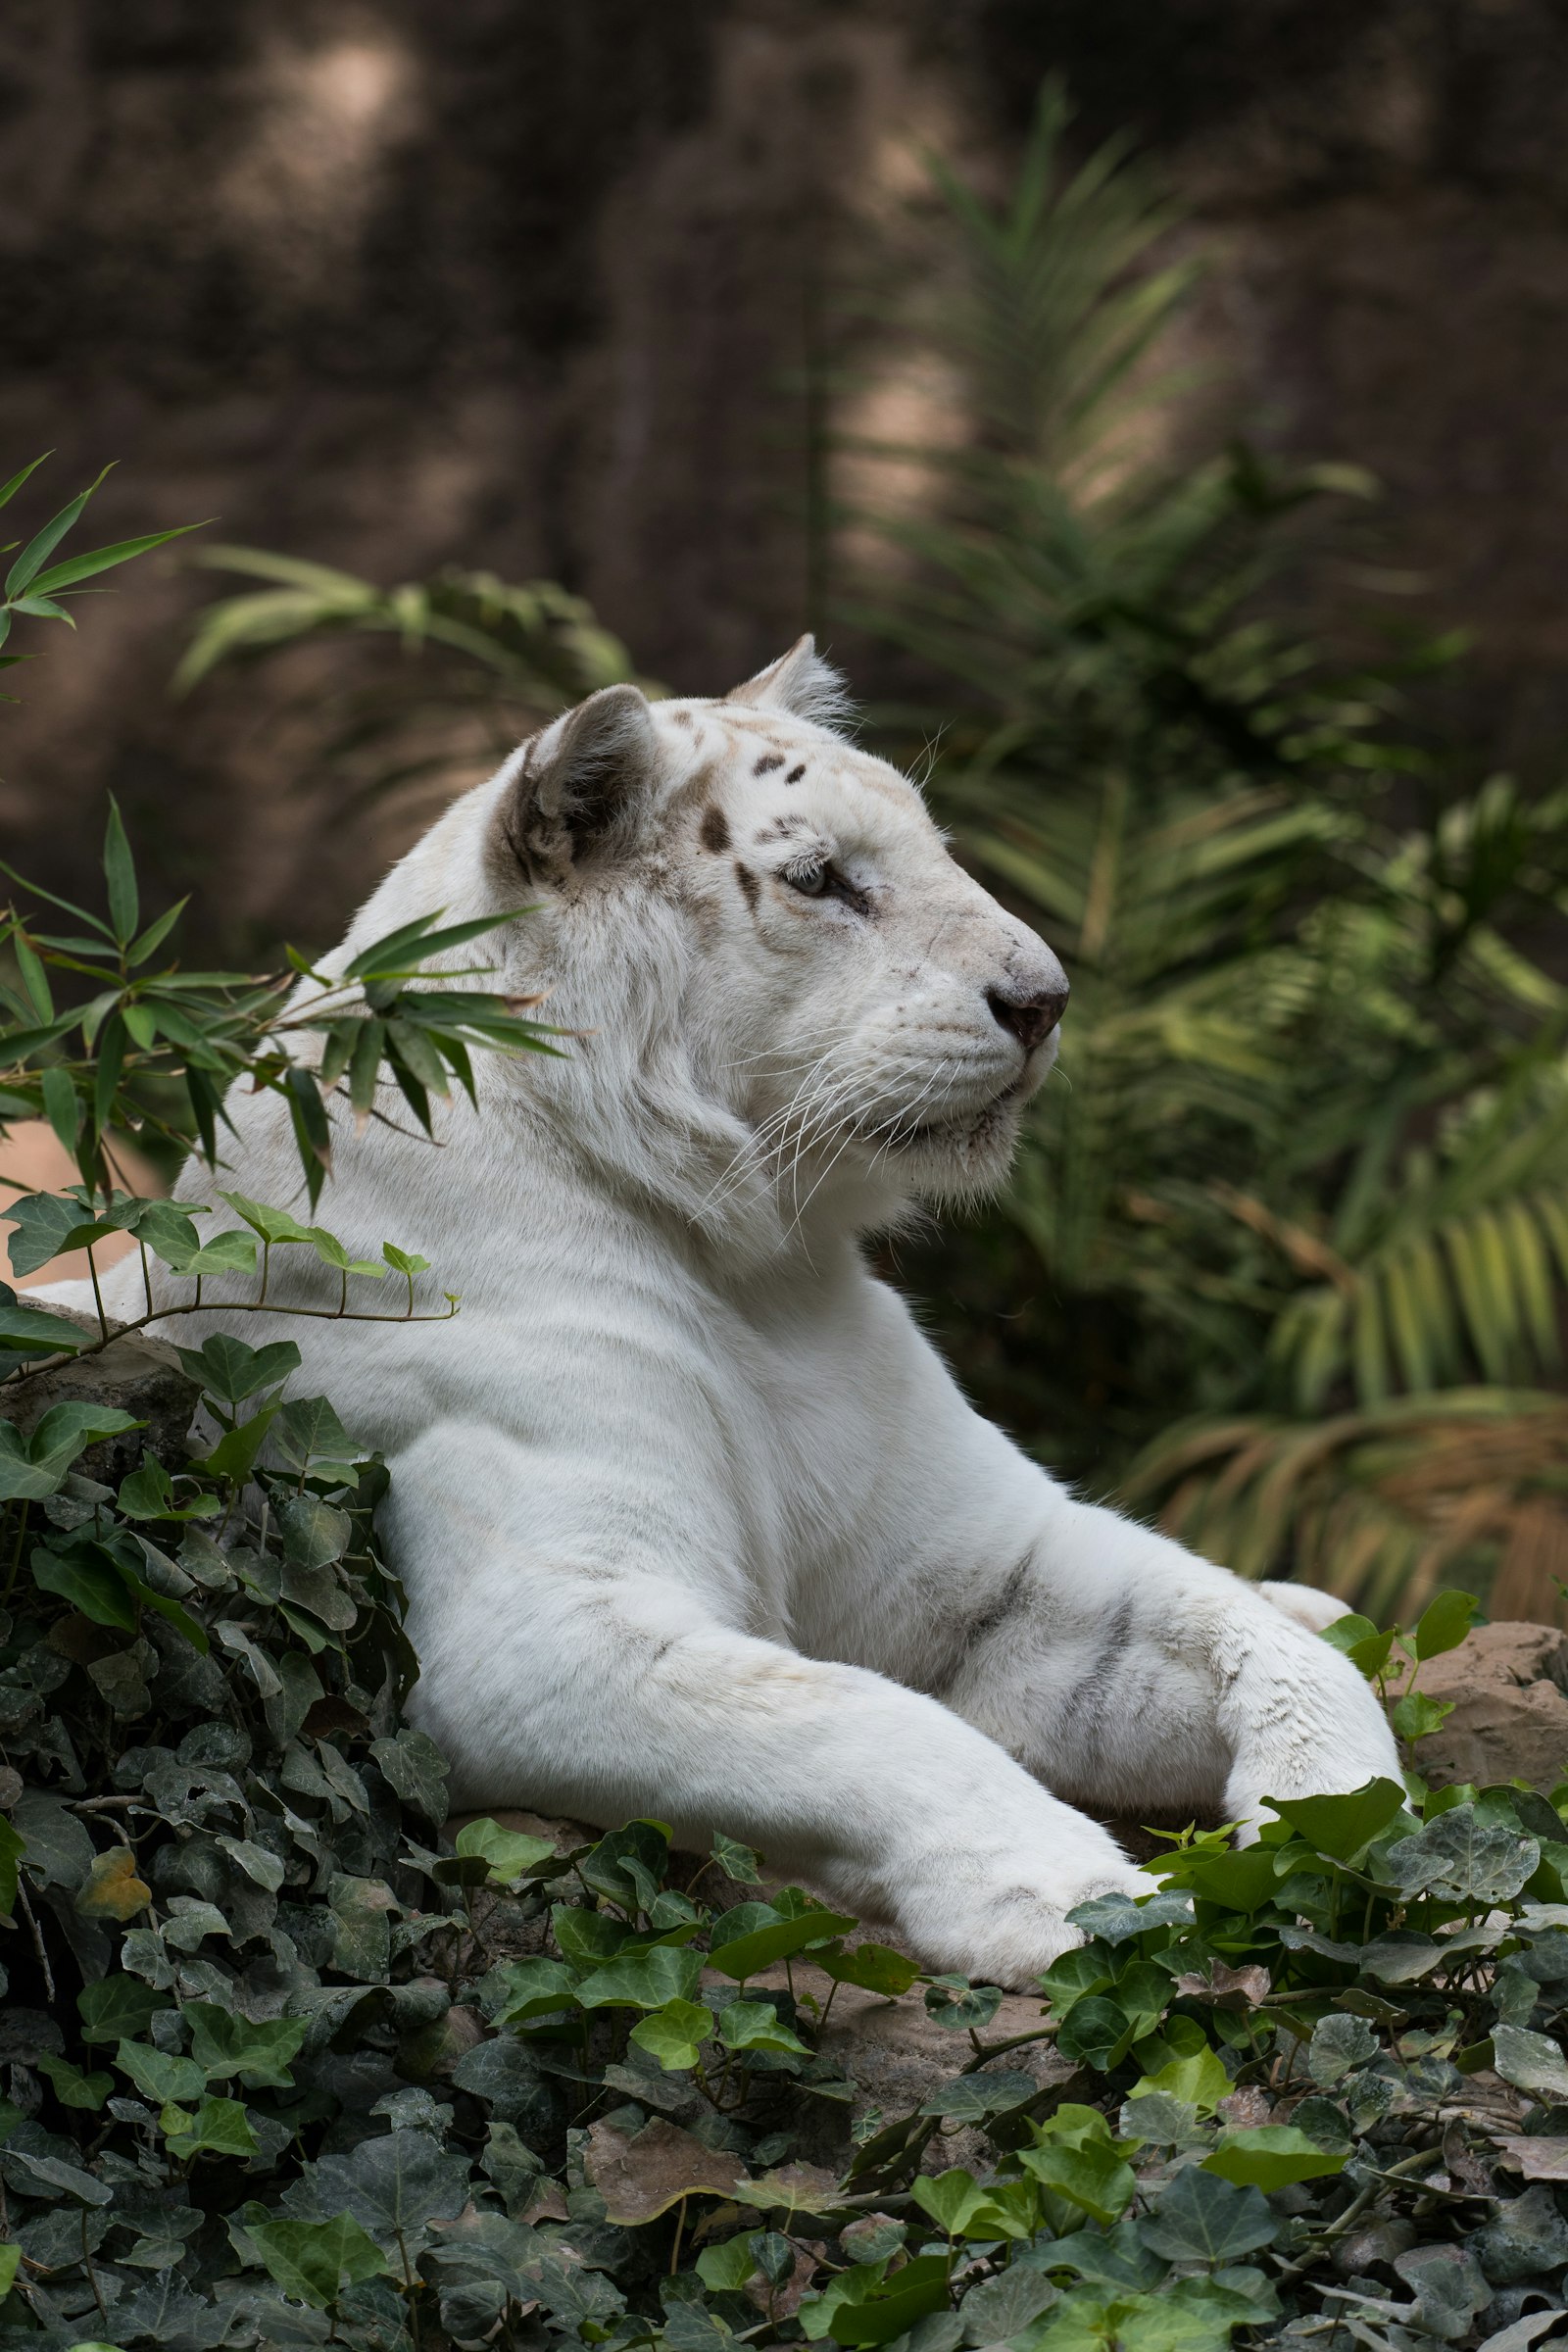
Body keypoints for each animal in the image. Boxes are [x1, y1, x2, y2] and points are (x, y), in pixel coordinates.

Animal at [70, 635, 1400, 1976]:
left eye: (936, 847)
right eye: (822, 879)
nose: (1046, 1000)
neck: (759, 1270)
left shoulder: (984, 1570)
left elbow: (1253, 1642)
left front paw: (1329, 1815)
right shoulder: (542, 1625)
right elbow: (866, 1717)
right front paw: (1075, 1900)